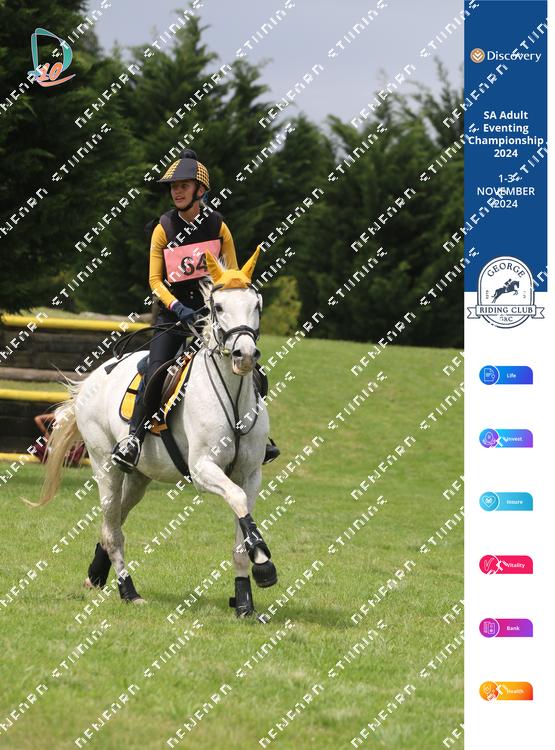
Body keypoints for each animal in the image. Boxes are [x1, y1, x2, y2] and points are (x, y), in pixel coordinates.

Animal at [33, 247, 277, 617]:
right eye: (219, 307)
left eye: (257, 305)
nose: (244, 355)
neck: (233, 397)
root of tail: (92, 379)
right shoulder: (203, 469)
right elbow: (235, 500)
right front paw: (264, 563)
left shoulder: (250, 474)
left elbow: (240, 530)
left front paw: (244, 599)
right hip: (106, 466)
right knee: (113, 528)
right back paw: (128, 590)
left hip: (138, 477)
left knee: (114, 520)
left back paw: (96, 574)